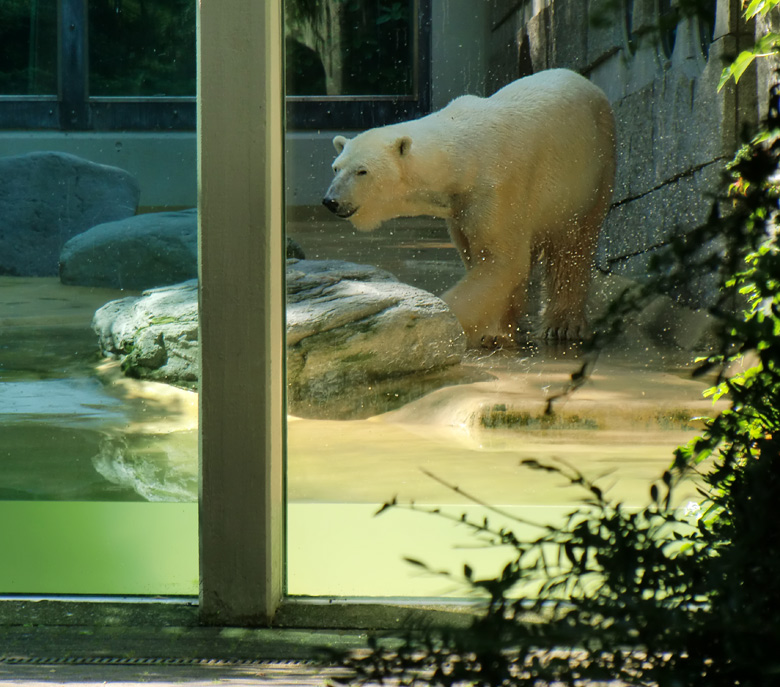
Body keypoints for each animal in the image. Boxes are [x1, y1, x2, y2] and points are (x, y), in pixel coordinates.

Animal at [320, 68, 612, 350]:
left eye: (362, 171)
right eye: (335, 168)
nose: (331, 201)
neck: (464, 154)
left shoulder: (498, 188)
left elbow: (500, 260)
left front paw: (439, 328)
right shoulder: (460, 210)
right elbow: (482, 259)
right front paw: (491, 331)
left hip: (591, 172)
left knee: (572, 247)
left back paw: (561, 325)